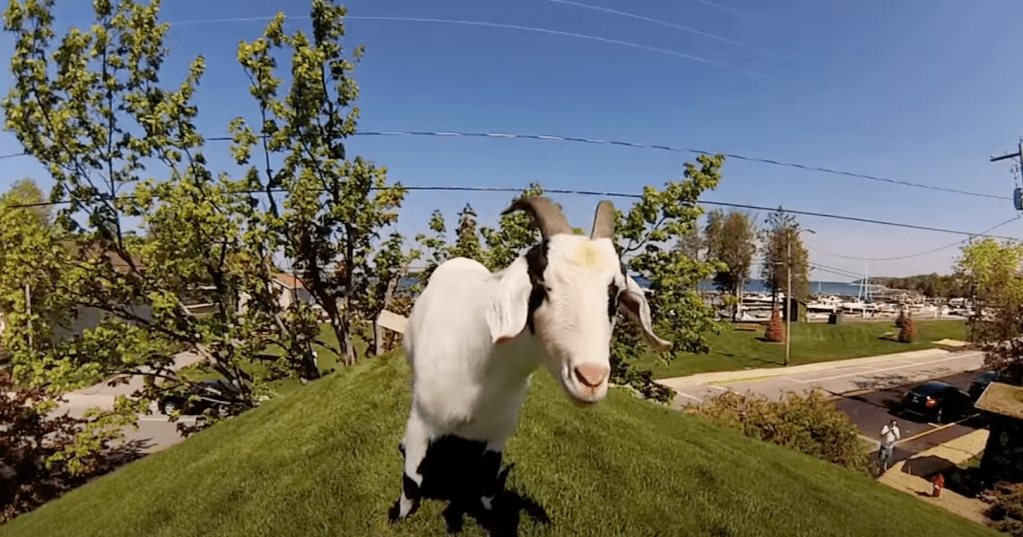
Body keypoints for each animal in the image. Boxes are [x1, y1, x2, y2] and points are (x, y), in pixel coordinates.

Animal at [386, 195, 666, 519]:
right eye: (543, 285)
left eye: (616, 294)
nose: (591, 379)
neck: (481, 370)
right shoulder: (422, 420)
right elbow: (411, 483)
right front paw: (399, 515)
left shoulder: (499, 433)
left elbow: (487, 483)